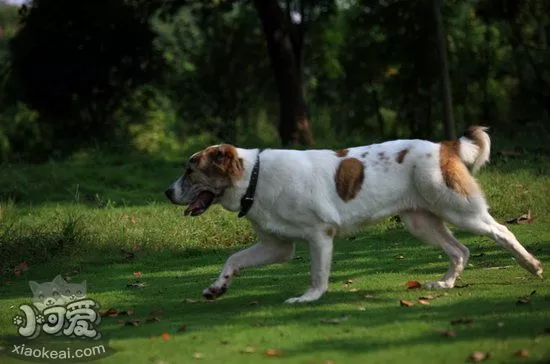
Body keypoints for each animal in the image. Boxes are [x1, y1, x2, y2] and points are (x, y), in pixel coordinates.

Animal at [164, 126, 544, 302]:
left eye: (190, 170)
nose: (167, 193)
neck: (254, 175)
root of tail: (442, 146)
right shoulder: (277, 247)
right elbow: (233, 259)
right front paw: (217, 287)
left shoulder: (319, 235)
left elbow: (318, 274)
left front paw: (308, 298)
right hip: (420, 221)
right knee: (460, 250)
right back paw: (446, 283)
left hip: (460, 210)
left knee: (502, 232)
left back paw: (532, 266)